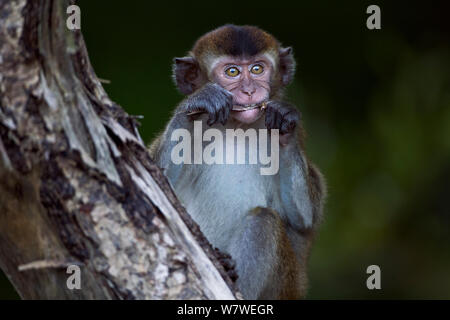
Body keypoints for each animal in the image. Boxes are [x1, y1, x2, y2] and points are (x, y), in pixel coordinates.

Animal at [149, 25, 326, 300]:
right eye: (232, 71)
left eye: (257, 69)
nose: (250, 91)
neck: (236, 126)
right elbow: (160, 185)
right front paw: (197, 103)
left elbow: (305, 217)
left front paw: (284, 120)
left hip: (286, 287)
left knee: (264, 220)